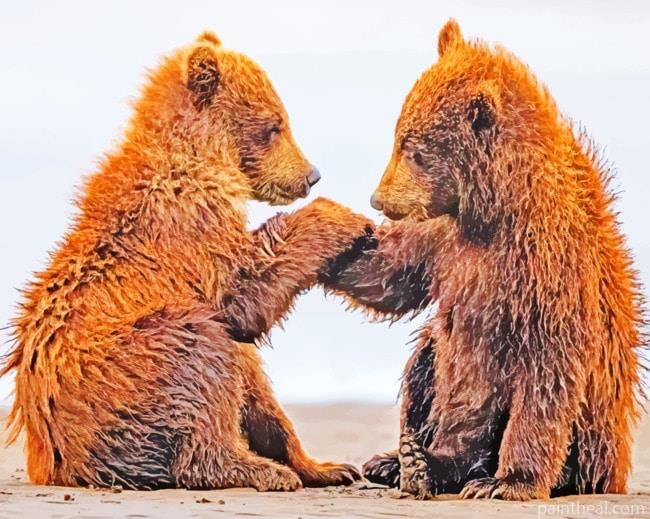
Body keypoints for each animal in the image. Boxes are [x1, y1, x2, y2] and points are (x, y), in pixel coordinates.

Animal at [0, 31, 372, 491]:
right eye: (275, 126)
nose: (311, 175)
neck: (199, 155)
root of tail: (60, 461)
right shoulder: (190, 224)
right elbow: (244, 290)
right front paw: (346, 218)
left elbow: (254, 368)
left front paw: (326, 465)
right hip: (130, 370)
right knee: (202, 351)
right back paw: (255, 468)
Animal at [322, 19, 646, 500]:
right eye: (398, 137)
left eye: (415, 150)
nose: (379, 199)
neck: (492, 211)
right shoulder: (443, 239)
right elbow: (392, 275)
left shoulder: (546, 266)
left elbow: (546, 374)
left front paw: (508, 482)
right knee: (425, 365)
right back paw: (402, 460)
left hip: (594, 439)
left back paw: (442, 468)